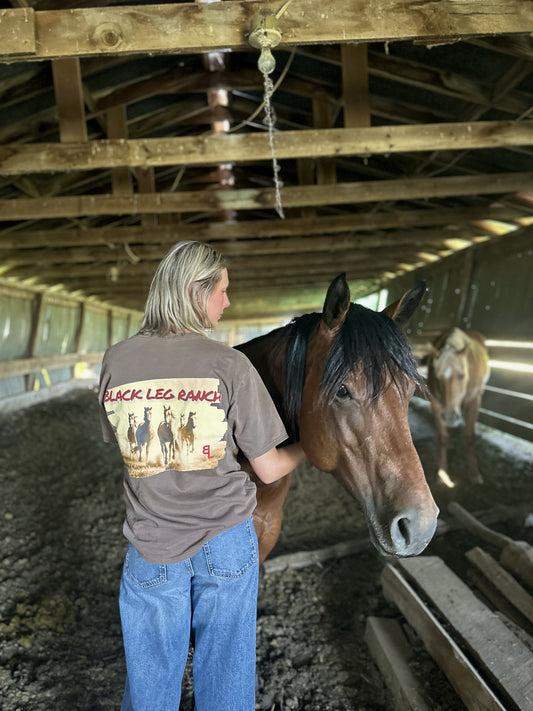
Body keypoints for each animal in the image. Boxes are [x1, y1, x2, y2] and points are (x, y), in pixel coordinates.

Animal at [425, 327, 490, 485]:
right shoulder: (436, 403)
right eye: (438, 378)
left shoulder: (474, 402)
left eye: (461, 375)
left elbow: (470, 437)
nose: (450, 417)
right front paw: (442, 474)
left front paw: (474, 473)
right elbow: (443, 437)